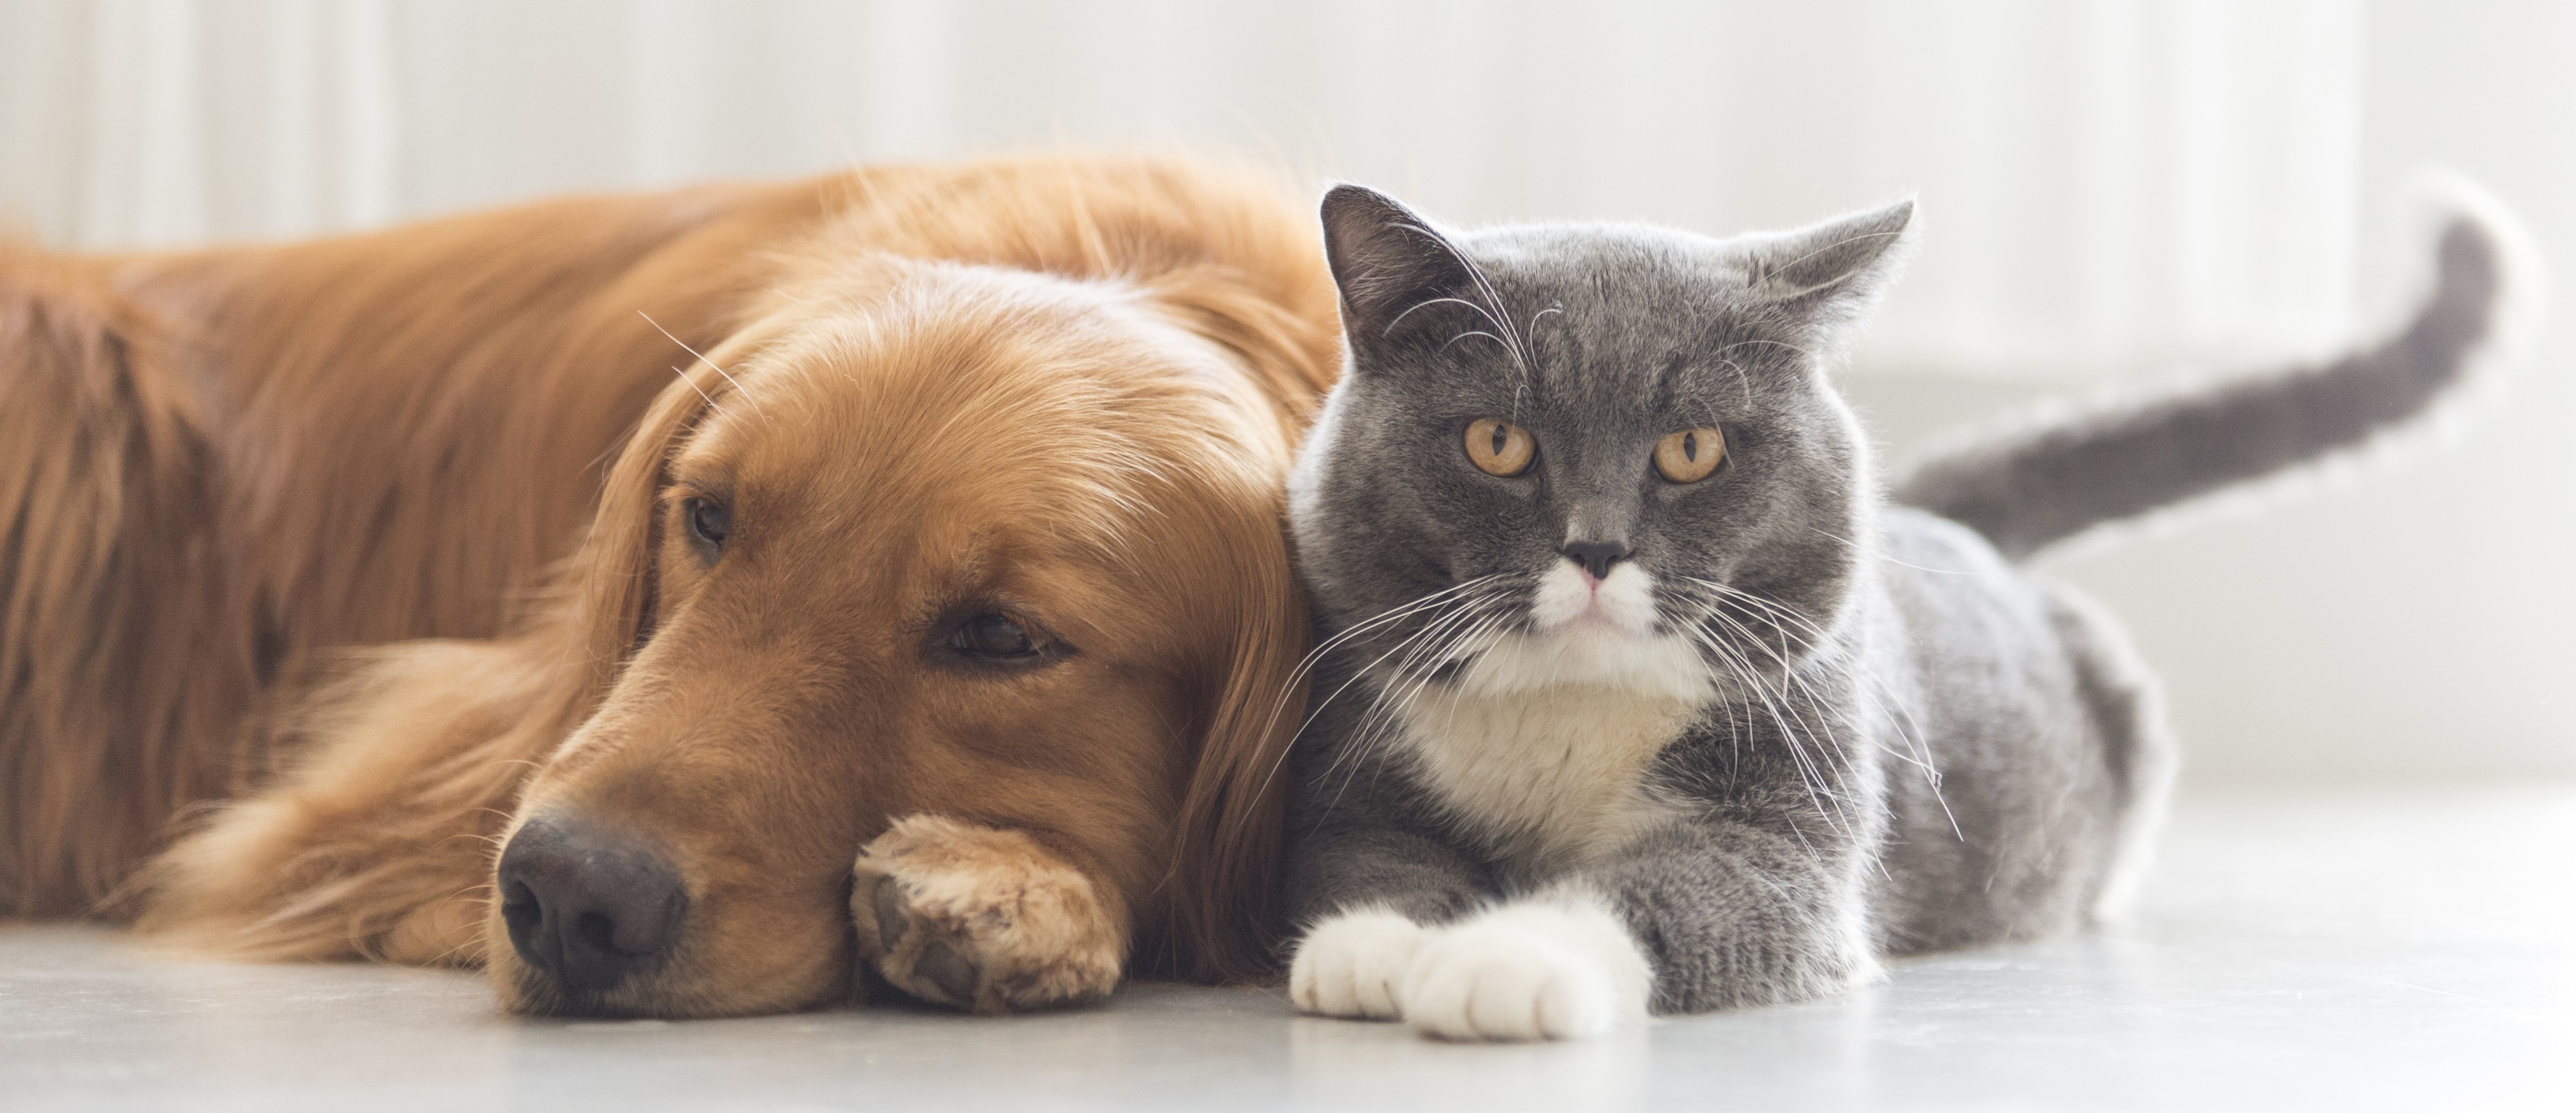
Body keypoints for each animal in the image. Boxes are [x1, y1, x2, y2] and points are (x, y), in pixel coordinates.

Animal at [1278, 178, 2524, 1041]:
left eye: (1691, 448)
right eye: (1498, 442)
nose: (1595, 547)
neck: (1573, 705)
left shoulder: (1793, 814)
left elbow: (1666, 891)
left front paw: (1500, 961)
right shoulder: (1354, 760)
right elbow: (1364, 853)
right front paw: (1380, 946)